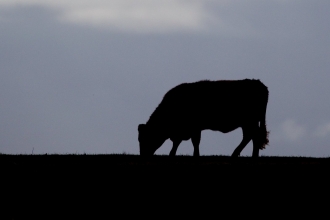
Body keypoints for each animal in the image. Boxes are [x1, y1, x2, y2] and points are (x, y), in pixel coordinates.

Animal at [138, 79, 270, 158]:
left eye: (144, 138)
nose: (143, 155)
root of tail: (258, 83)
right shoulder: (184, 130)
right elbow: (177, 142)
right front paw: (172, 154)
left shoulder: (194, 127)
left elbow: (195, 141)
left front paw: (195, 155)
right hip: (247, 122)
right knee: (249, 136)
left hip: (250, 121)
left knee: (253, 136)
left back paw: (248, 155)